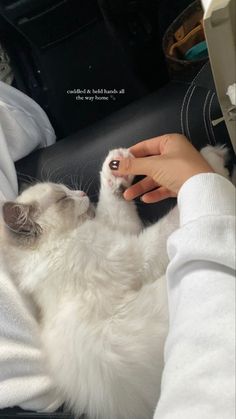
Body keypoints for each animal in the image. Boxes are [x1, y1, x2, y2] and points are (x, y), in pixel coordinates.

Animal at [0, 145, 229, 419]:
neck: (58, 246)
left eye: (67, 190)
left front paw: (116, 165)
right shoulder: (135, 256)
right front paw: (210, 161)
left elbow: (114, 202)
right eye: (63, 198)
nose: (81, 193)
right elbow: (171, 220)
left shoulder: (121, 232)